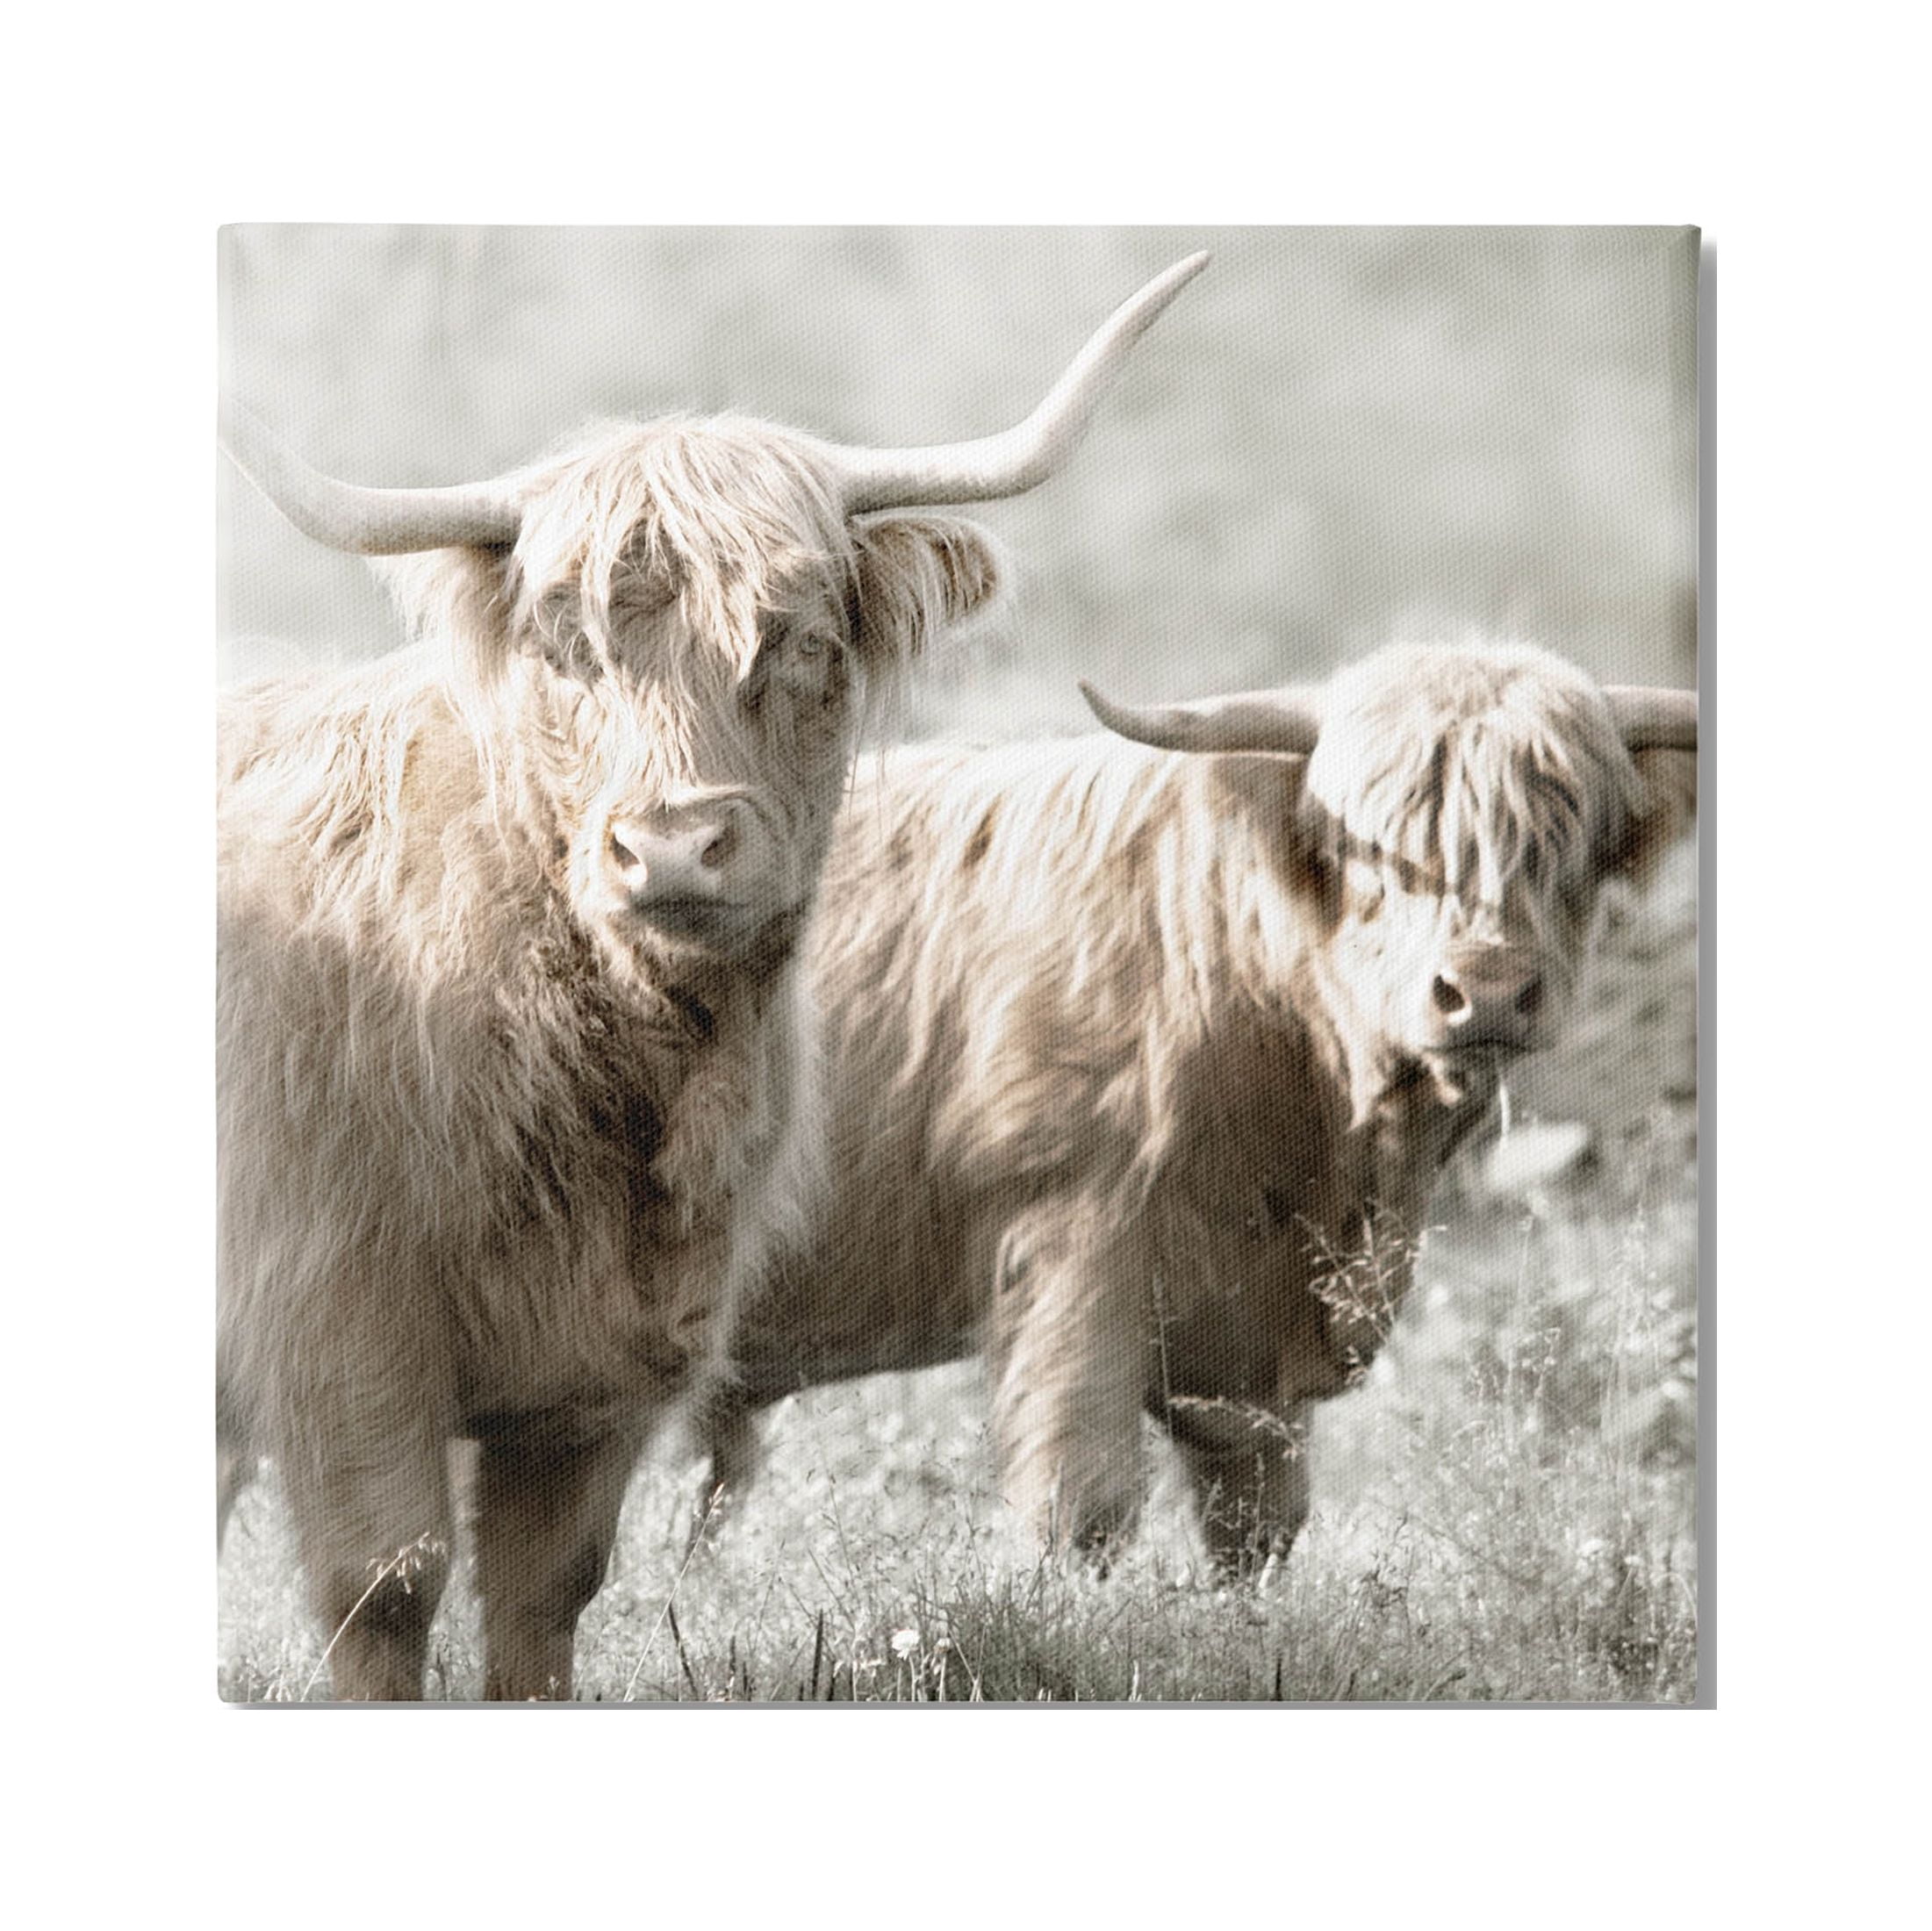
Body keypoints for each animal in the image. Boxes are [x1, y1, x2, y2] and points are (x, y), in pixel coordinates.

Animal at [215, 252, 1208, 1699]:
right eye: (567, 644)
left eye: (797, 639)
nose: (676, 844)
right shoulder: (333, 1328)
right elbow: (384, 1587)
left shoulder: (598, 1374)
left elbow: (544, 1602)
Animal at [696, 641, 1696, 1570]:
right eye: (1369, 853)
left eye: (1567, 848)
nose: (1485, 992)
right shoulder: (1076, 1249)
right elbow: (1082, 1504)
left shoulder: (1252, 1344)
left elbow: (1257, 1520)